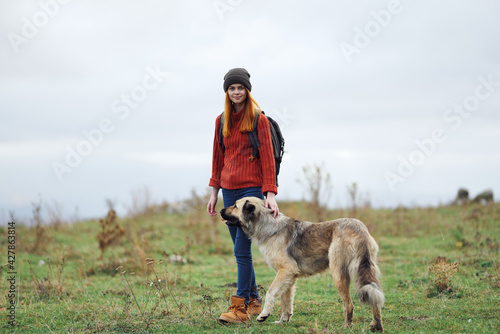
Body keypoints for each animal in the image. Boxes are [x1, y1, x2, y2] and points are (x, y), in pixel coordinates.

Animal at [221, 197, 384, 330]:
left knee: (349, 304)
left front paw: (264, 315)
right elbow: (286, 302)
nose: (220, 210)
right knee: (374, 298)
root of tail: (359, 229)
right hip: (366, 271)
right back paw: (376, 326)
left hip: (339, 274)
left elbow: (271, 292)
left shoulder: (285, 271)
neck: (269, 227)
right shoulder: (289, 277)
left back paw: (346, 326)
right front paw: (283, 321)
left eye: (235, 205)